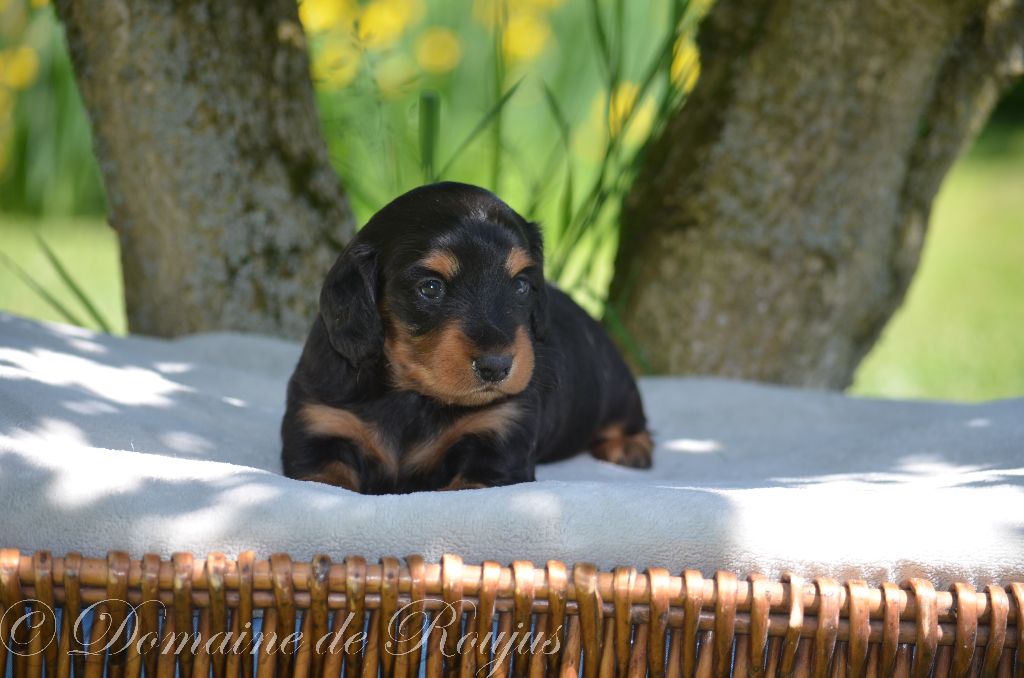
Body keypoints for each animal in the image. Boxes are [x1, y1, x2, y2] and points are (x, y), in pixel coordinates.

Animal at [281, 182, 651, 493]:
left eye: (521, 285)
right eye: (431, 287)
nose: (496, 367)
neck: (412, 396)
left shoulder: (497, 441)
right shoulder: (320, 428)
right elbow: (329, 479)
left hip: (615, 389)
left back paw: (630, 446)